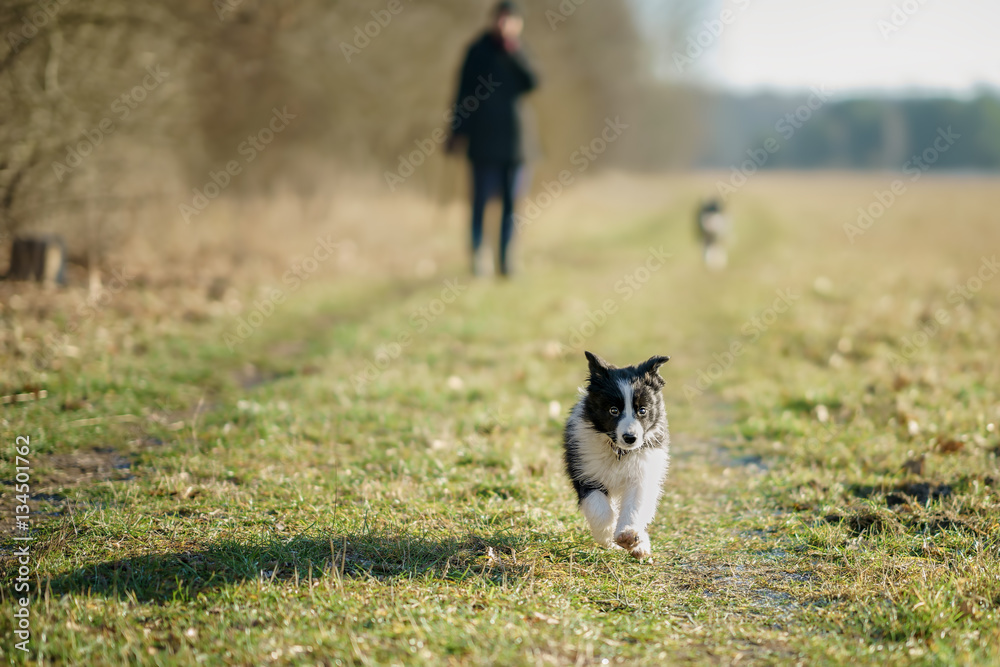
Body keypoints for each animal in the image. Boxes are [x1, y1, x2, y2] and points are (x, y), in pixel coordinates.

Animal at [564, 352, 672, 560]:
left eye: (642, 410)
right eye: (613, 410)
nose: (630, 438)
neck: (618, 451)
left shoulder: (643, 472)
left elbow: (636, 505)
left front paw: (629, 535)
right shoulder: (585, 470)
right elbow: (599, 508)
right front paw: (607, 538)